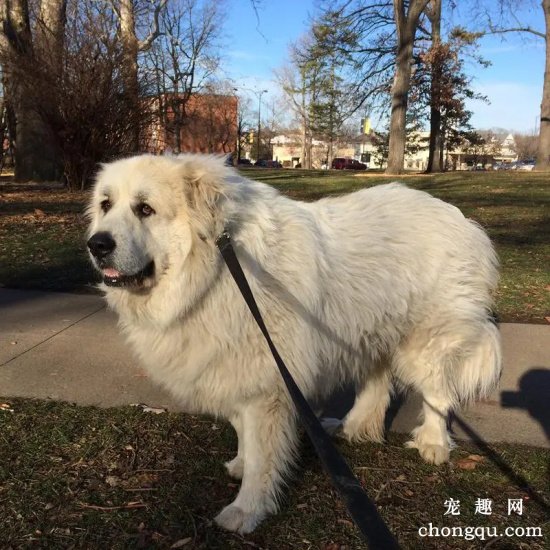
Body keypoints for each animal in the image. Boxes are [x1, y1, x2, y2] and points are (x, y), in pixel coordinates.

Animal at [87, 154, 504, 536]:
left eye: (145, 209)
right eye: (106, 204)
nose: (97, 244)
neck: (215, 269)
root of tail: (461, 219)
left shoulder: (267, 385)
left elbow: (262, 454)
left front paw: (246, 510)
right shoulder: (240, 371)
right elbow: (244, 432)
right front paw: (240, 463)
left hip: (426, 342)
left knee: (437, 393)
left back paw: (432, 443)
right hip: (367, 330)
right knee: (377, 379)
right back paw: (355, 426)